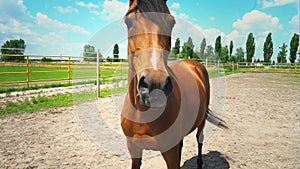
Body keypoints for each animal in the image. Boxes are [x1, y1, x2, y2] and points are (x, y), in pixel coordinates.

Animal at [121, 0, 220, 168]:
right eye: (129, 22)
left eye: (171, 23)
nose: (155, 84)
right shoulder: (133, 148)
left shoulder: (170, 152)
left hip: (201, 121)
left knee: (200, 138)